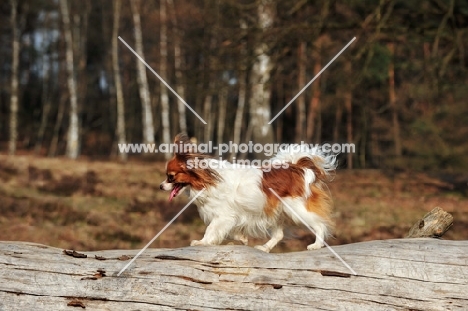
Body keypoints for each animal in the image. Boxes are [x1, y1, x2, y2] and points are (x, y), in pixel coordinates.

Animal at [161, 134, 336, 254]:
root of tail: (299, 168)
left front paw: (202, 242)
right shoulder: (233, 216)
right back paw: (264, 248)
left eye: (171, 177)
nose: (161, 186)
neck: (208, 180)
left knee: (320, 224)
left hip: (297, 210)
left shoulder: (223, 215)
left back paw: (316, 244)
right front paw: (242, 238)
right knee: (278, 235)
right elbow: (231, 231)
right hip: (277, 213)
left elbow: (211, 229)